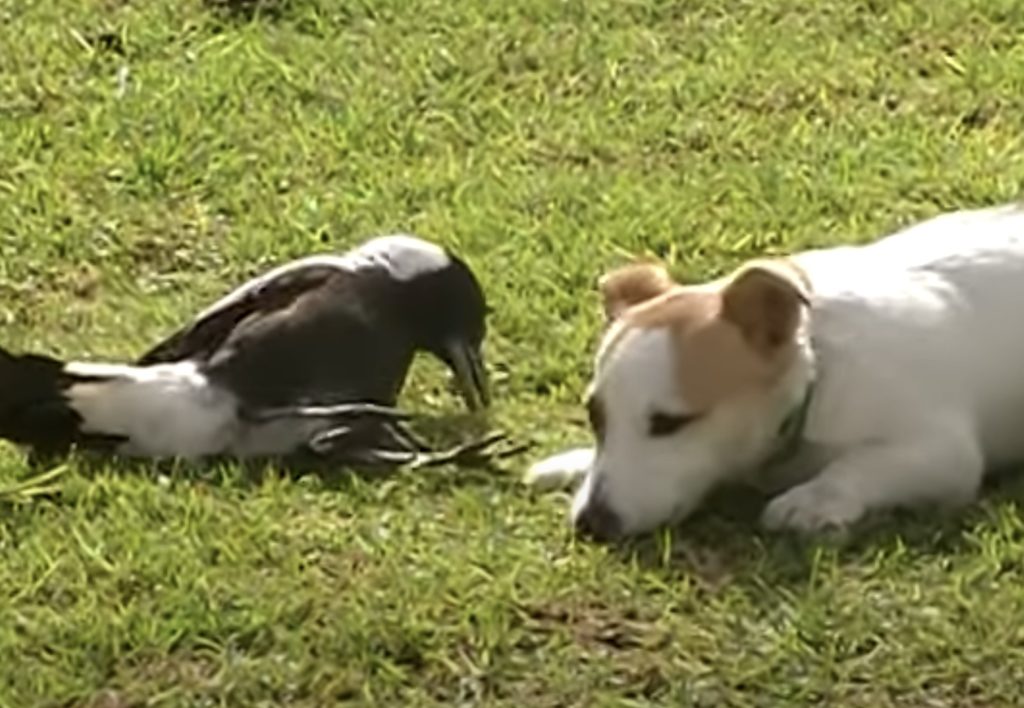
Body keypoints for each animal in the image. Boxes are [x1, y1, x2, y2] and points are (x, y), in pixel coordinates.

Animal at [526, 202, 1024, 540]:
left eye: (670, 422)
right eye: (595, 416)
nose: (592, 523)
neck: (816, 371)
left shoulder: (942, 451)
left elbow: (858, 464)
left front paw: (814, 498)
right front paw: (574, 460)